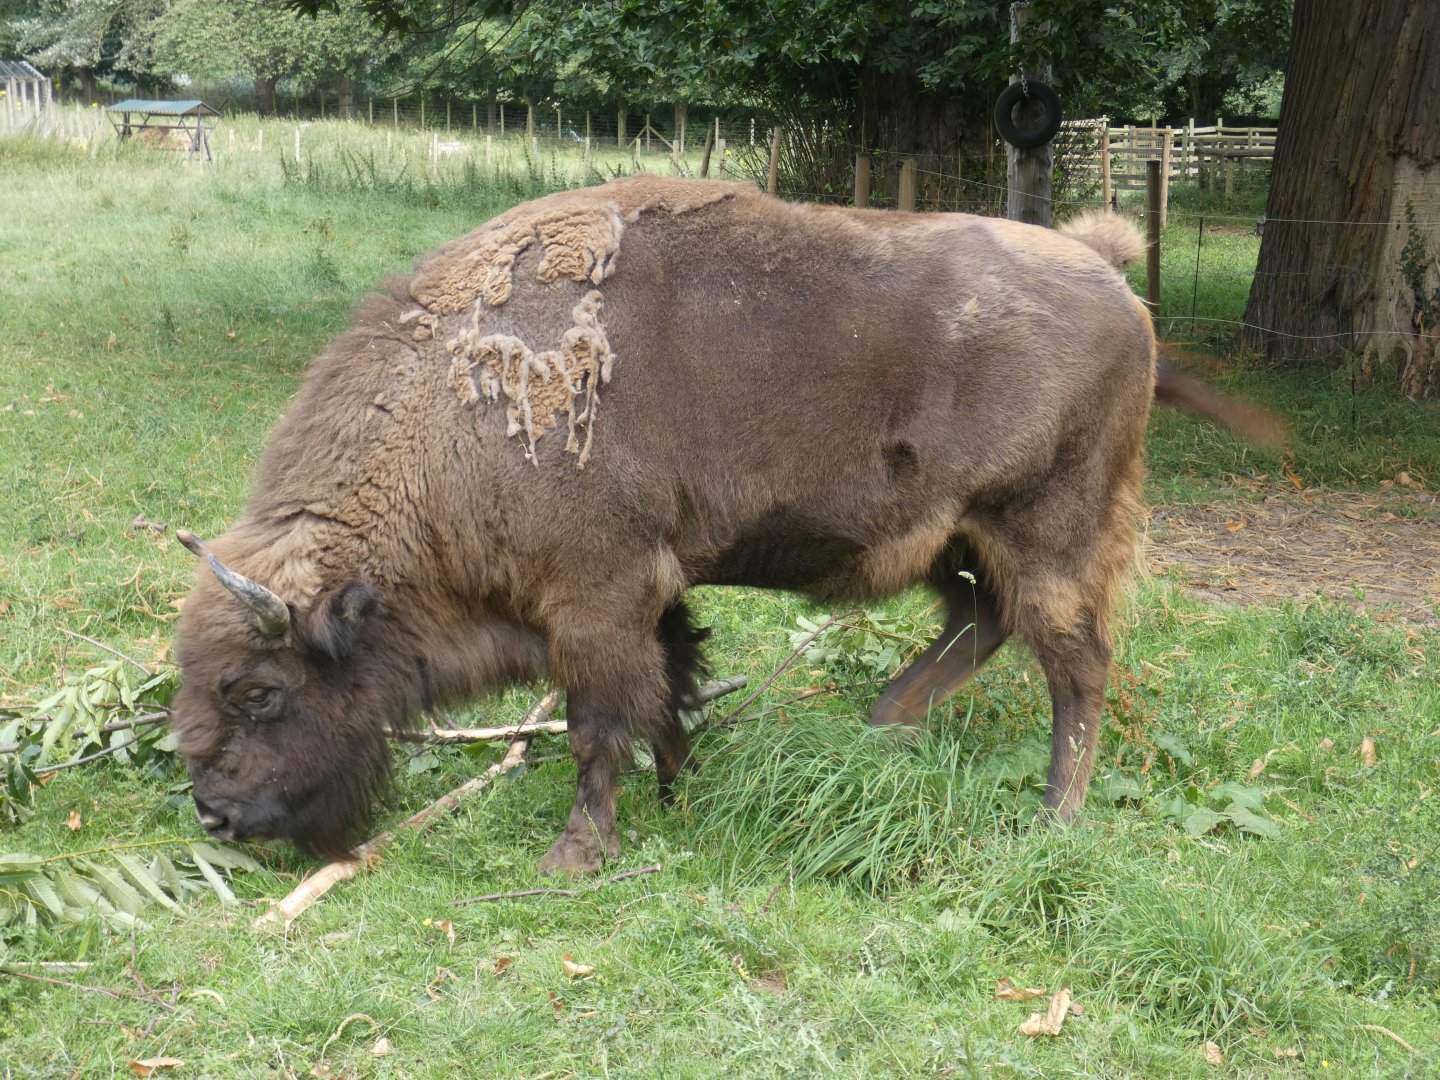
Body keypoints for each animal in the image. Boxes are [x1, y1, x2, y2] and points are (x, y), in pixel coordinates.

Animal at [172, 176, 1180, 874]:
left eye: (258, 692)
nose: (214, 812)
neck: (450, 416)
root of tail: (1111, 277)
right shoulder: (650, 591)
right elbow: (669, 684)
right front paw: (678, 788)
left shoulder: (596, 599)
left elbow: (597, 720)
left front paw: (578, 852)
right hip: (957, 541)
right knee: (982, 623)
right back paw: (881, 726)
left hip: (1046, 532)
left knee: (1076, 664)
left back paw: (1054, 817)